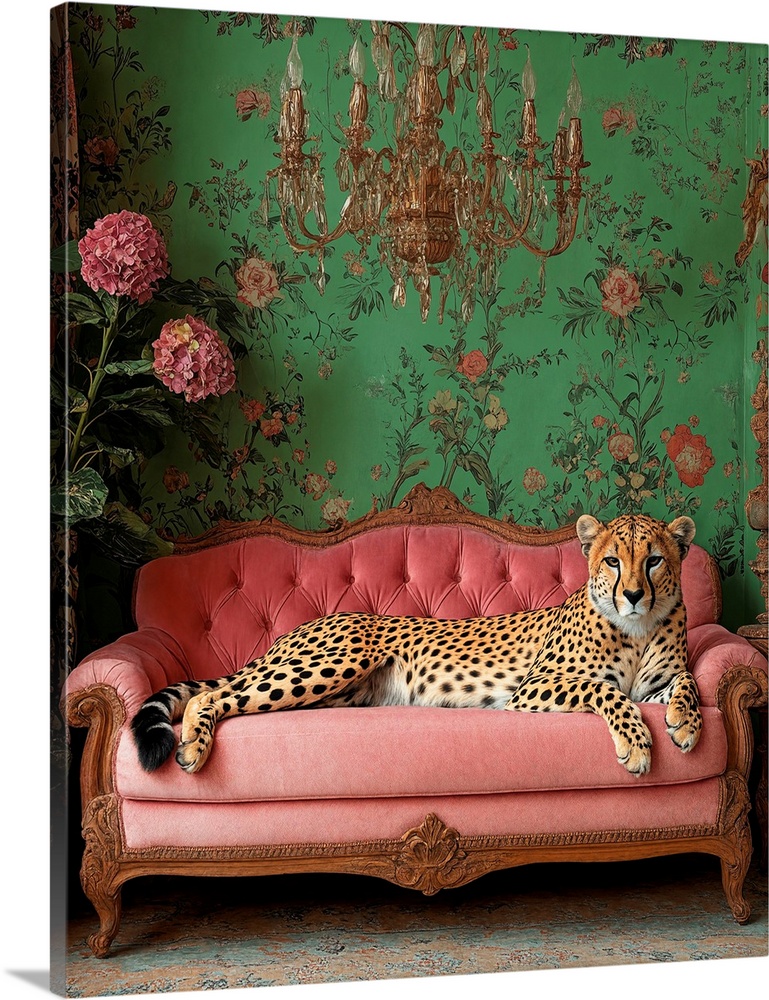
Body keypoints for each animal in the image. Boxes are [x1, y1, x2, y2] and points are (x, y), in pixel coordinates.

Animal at [132, 512, 702, 778]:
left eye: (654, 560)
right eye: (613, 560)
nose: (633, 594)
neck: (636, 630)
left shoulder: (659, 678)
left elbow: (687, 679)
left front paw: (686, 722)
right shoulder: (532, 687)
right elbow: (608, 692)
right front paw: (637, 742)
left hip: (333, 694)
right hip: (330, 664)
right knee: (212, 696)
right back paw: (193, 745)